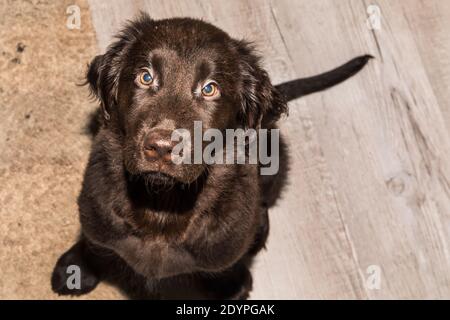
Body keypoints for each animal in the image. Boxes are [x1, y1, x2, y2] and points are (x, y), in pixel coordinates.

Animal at [51, 13, 370, 300]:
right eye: (145, 77)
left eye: (209, 89)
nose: (162, 147)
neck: (163, 203)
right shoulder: (97, 214)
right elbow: (95, 244)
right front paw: (77, 268)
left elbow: (226, 267)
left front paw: (231, 285)